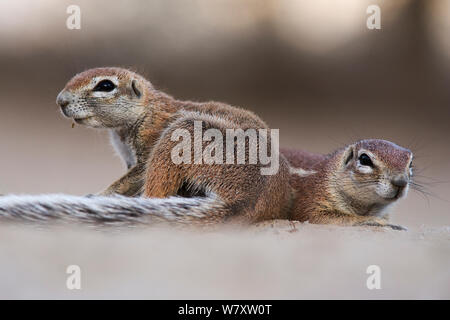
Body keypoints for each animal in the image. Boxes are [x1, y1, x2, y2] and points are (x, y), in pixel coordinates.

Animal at [0, 67, 412, 229]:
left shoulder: (149, 148)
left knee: (156, 193)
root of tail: (250, 196)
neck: (147, 110)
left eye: (105, 86)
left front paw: (100, 194)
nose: (60, 101)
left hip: (183, 137)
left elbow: (131, 179)